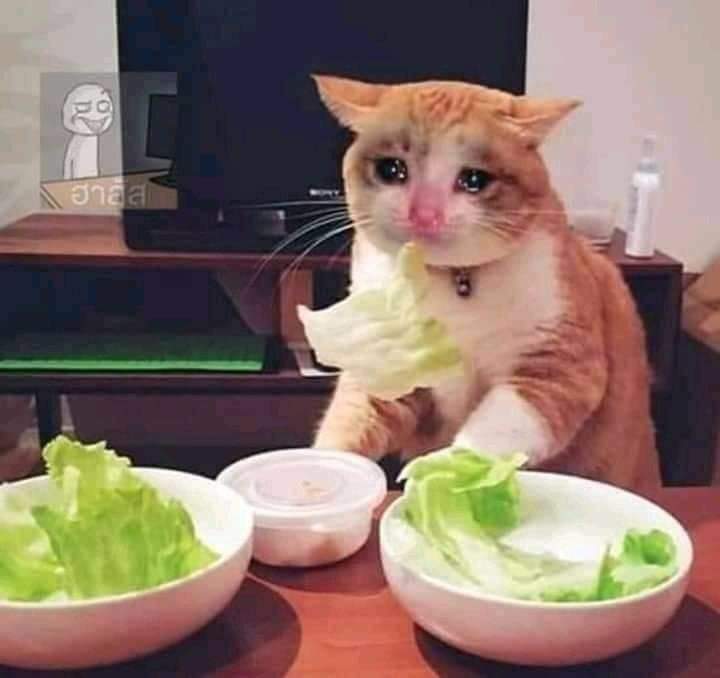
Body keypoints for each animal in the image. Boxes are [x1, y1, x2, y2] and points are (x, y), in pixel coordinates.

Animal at [310, 75, 661, 491]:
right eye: (391, 169)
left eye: (475, 179)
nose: (424, 213)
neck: (456, 282)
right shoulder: (386, 363)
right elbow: (349, 422)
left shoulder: (560, 369)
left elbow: (488, 434)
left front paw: (438, 474)